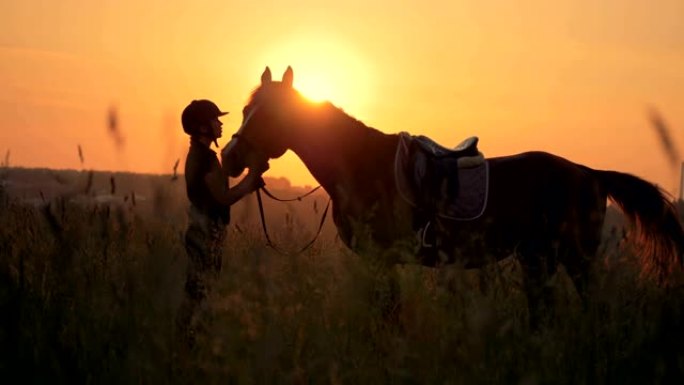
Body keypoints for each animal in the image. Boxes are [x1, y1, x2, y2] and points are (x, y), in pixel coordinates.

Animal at [222, 66, 680, 324]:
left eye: (269, 114)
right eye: (245, 111)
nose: (229, 158)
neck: (362, 164)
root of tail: (590, 173)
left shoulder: (381, 259)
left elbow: (388, 315)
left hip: (574, 258)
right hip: (539, 258)